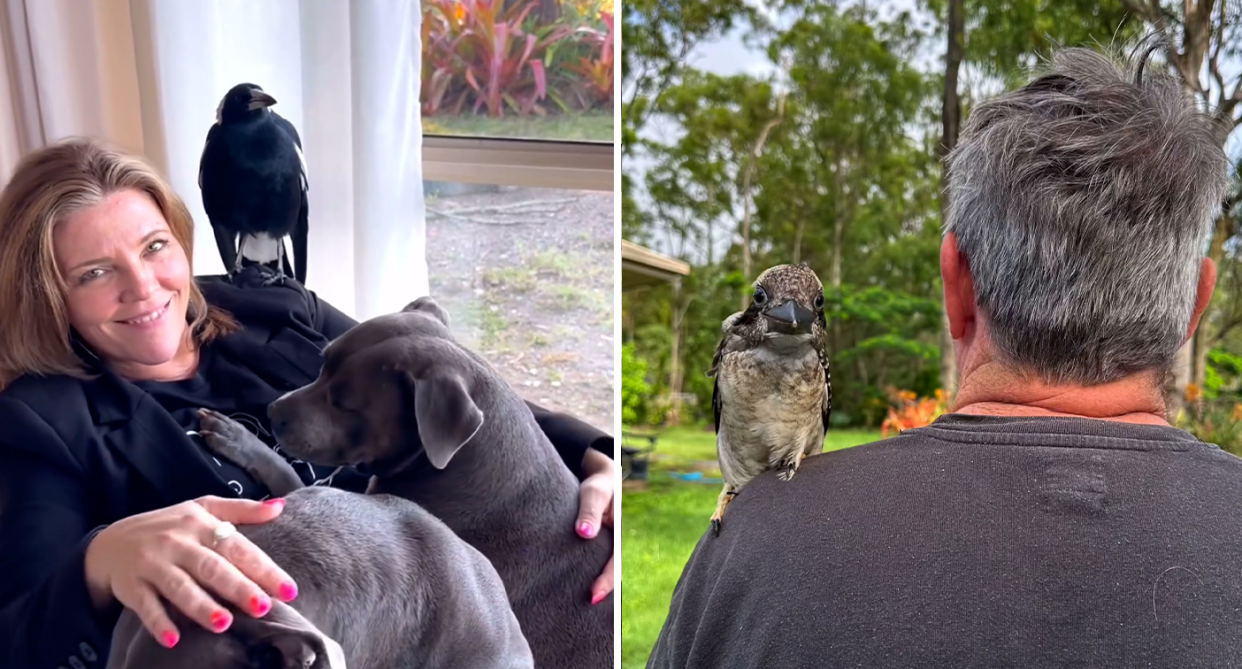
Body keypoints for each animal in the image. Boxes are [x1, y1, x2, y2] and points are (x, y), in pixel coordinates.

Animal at [209, 297, 621, 669]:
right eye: (323, 361)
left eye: (344, 404)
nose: (272, 412)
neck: (458, 464)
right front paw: (238, 437)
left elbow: (290, 478)